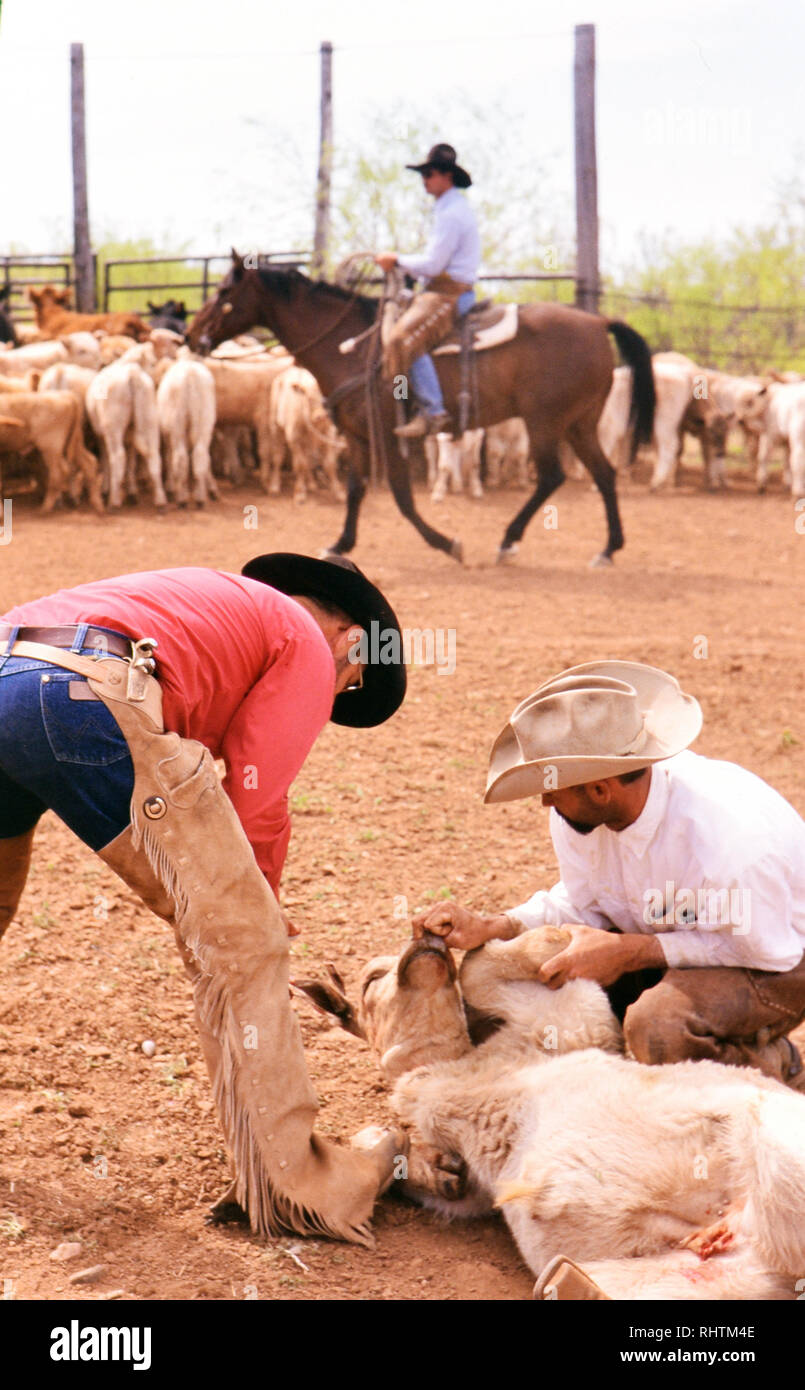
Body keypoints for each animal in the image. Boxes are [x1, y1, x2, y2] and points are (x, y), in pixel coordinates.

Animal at [189, 255, 656, 564]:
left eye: (225, 291)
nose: (193, 336)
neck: (352, 348)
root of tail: (598, 322)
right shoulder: (357, 435)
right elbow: (356, 489)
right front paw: (340, 545)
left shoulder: (391, 436)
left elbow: (401, 498)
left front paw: (447, 543)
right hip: (579, 423)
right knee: (604, 473)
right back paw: (608, 548)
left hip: (546, 421)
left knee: (552, 476)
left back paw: (509, 540)